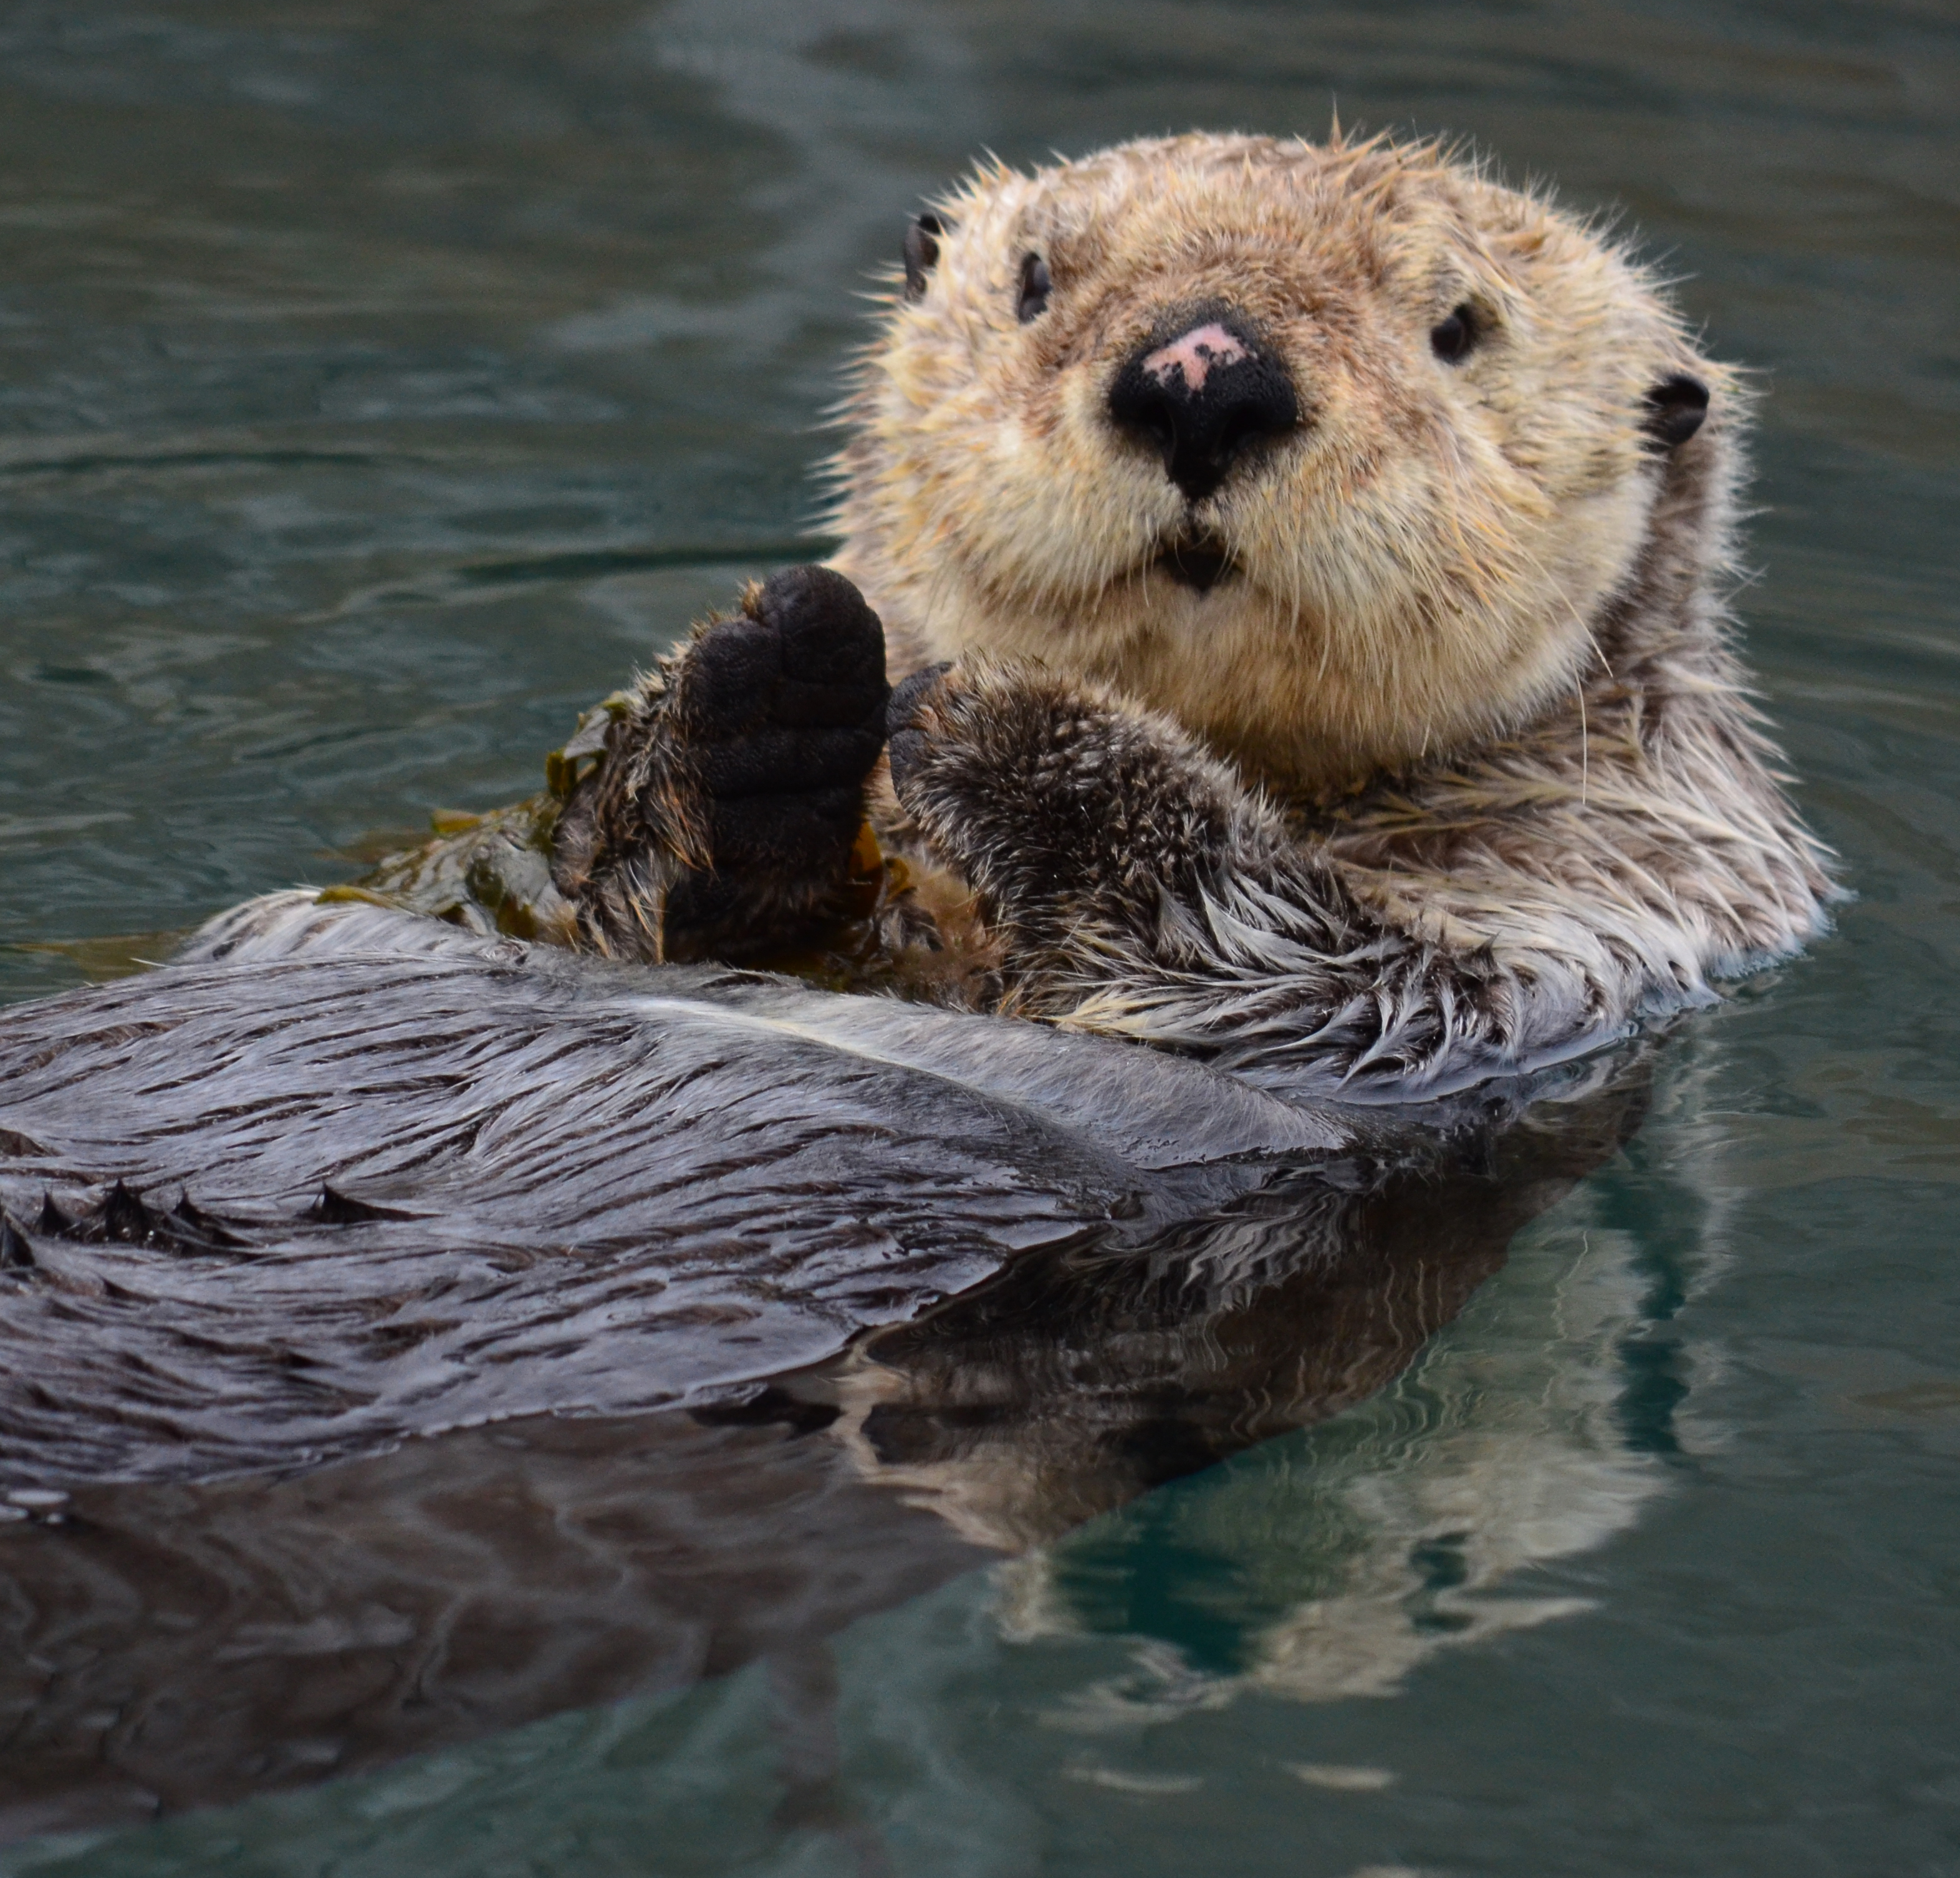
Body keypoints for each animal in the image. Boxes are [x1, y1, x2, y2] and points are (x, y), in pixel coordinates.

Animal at [335, 129, 1830, 1098]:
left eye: (1459, 327)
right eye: (1035, 281)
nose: (1203, 376)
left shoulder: (1619, 885)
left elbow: (1349, 981)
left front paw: (1010, 728)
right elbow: (527, 888)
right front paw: (765, 697)